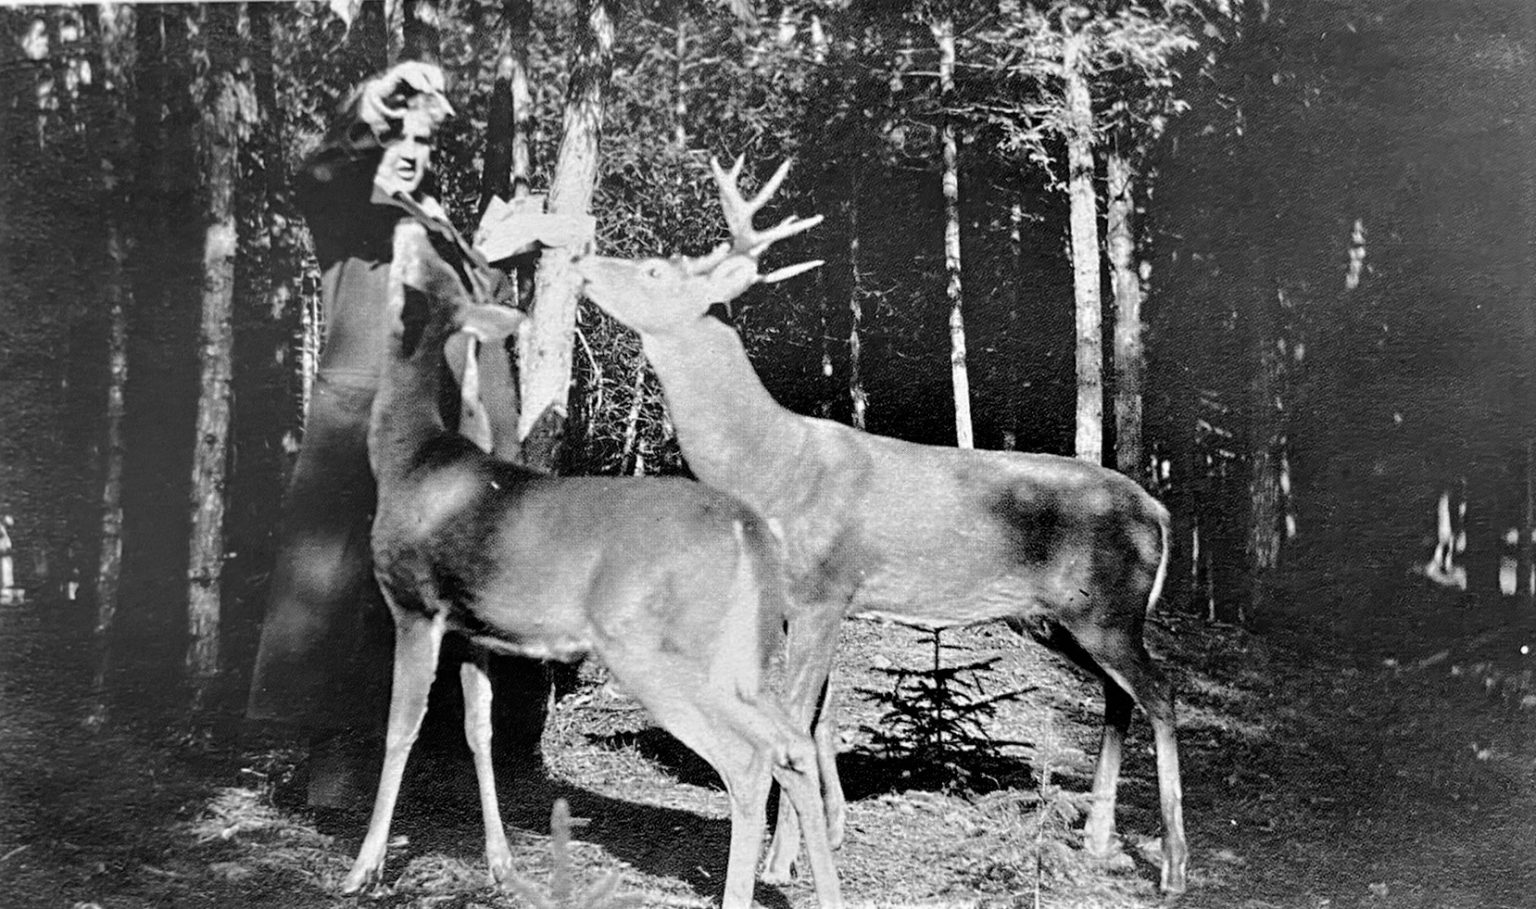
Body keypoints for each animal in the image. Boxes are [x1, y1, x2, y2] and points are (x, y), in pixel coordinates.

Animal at [344, 219, 847, 909]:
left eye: (420, 273)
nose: (412, 224)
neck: (408, 459)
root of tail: (749, 529)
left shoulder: (414, 603)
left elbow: (401, 729)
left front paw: (362, 868)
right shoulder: (476, 630)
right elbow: (479, 730)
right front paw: (501, 864)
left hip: (648, 645)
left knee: (747, 760)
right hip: (738, 656)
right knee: (791, 742)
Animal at [577, 158, 1185, 896]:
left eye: (654, 271)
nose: (580, 258)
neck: (770, 464)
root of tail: (1159, 513)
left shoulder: (825, 589)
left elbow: (799, 718)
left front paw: (782, 861)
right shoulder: (801, 603)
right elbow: (818, 715)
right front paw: (817, 839)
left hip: (1111, 608)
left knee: (1162, 695)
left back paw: (1174, 866)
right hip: (1061, 618)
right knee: (1118, 698)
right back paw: (1096, 836)